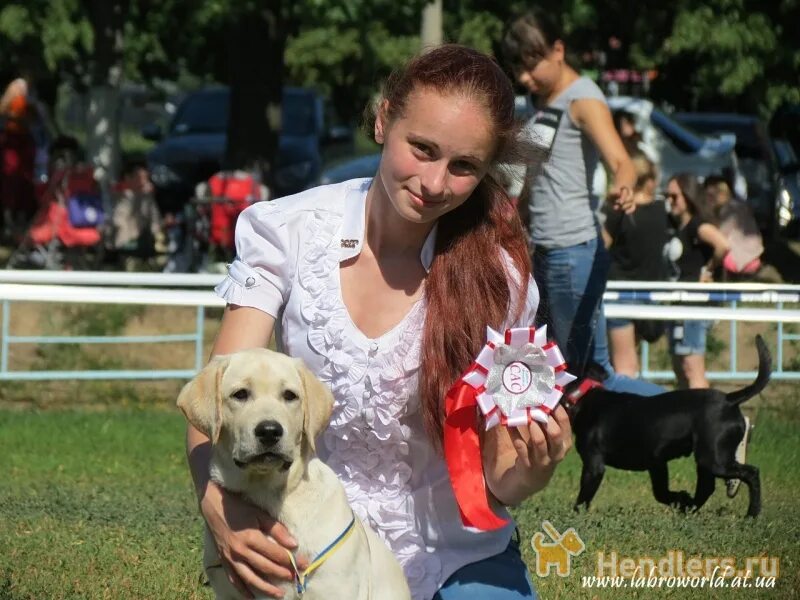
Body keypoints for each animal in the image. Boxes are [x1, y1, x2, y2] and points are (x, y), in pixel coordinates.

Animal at [568, 332, 768, 516]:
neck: (583, 396)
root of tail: (729, 399)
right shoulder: (657, 463)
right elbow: (660, 492)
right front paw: (681, 498)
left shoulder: (594, 465)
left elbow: (583, 498)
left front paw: (576, 517)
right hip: (706, 458)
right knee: (706, 487)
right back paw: (689, 509)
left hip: (713, 458)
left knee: (752, 473)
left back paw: (752, 514)